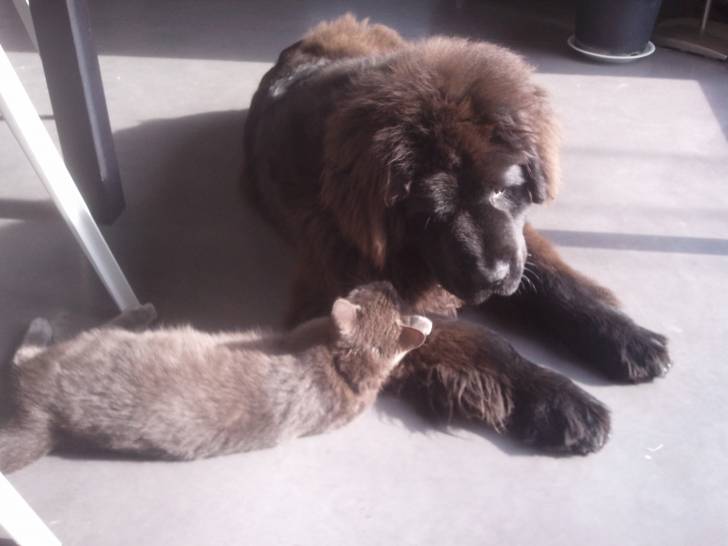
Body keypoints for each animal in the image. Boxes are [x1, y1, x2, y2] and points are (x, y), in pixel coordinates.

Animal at [0, 281, 432, 473]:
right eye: (373, 287)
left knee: (23, 357)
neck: (346, 371)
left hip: (90, 344)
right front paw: (422, 322)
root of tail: (47, 419)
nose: (387, 281)